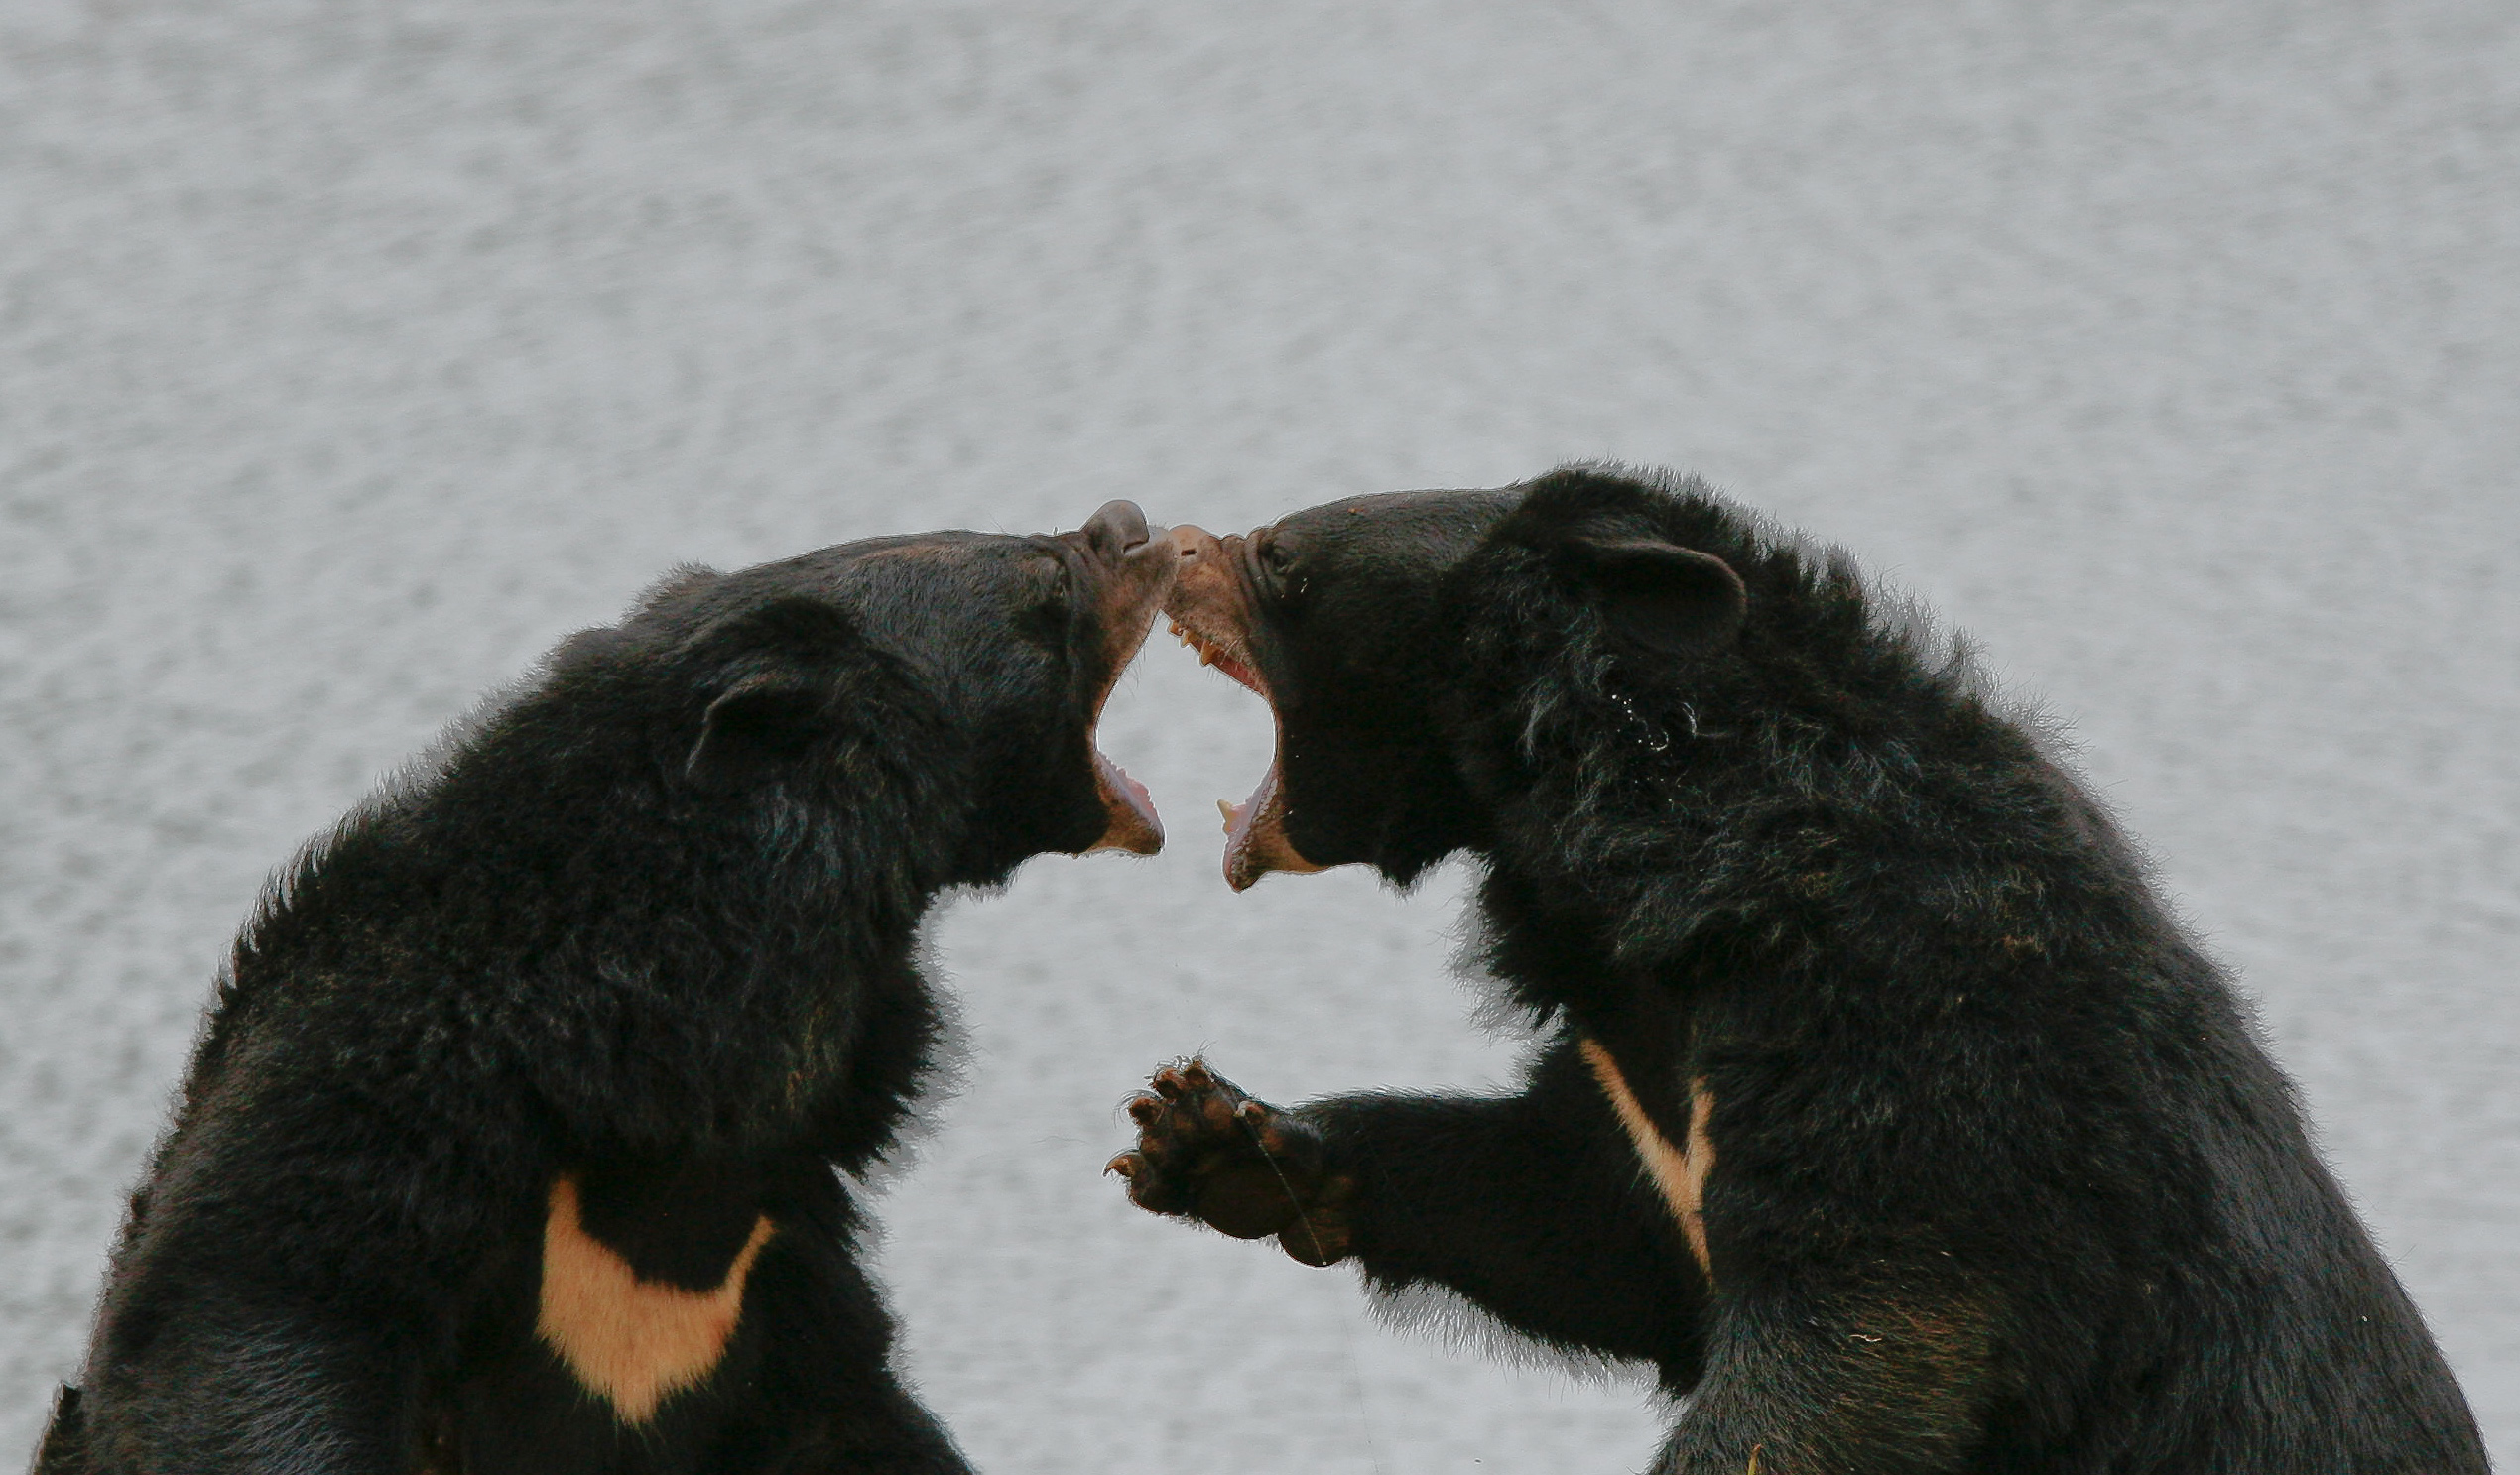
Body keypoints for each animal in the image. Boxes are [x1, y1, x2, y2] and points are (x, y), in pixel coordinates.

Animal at [1107, 468, 2486, 1474]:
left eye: (1278, 557)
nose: (1164, 544)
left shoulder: (1913, 1057)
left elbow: (1852, 1358)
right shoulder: (1648, 1112)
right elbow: (1572, 1218)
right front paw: (1218, 1137)